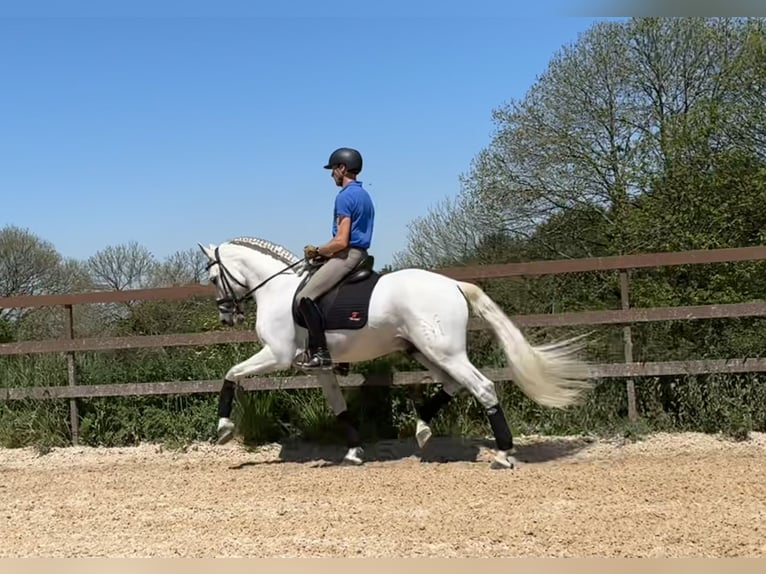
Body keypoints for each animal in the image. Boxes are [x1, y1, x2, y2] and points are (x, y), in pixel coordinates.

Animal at [196, 236, 592, 470]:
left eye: (214, 278)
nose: (227, 315)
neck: (277, 290)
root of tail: (453, 284)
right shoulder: (318, 366)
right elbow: (339, 407)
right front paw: (354, 452)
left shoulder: (276, 354)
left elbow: (231, 374)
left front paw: (224, 428)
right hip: (424, 350)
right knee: (452, 385)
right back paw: (422, 429)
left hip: (444, 351)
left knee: (482, 387)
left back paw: (503, 454)